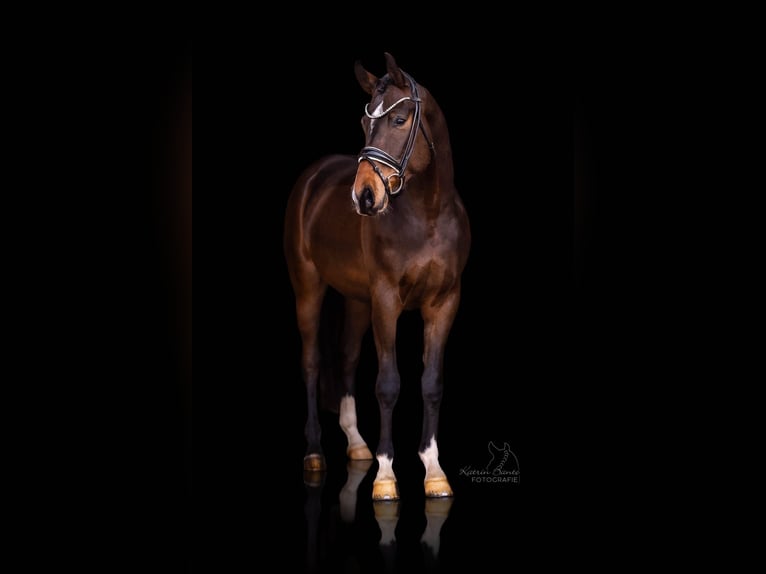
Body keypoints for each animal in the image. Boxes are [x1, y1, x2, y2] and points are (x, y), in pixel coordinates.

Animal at [284, 52, 470, 500]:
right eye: (363, 121)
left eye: (400, 120)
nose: (365, 195)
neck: (429, 216)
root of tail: (313, 178)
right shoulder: (387, 301)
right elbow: (388, 384)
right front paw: (386, 478)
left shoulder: (444, 303)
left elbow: (432, 383)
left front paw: (434, 471)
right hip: (308, 289)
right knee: (312, 362)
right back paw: (314, 453)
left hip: (356, 299)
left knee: (348, 357)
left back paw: (356, 443)